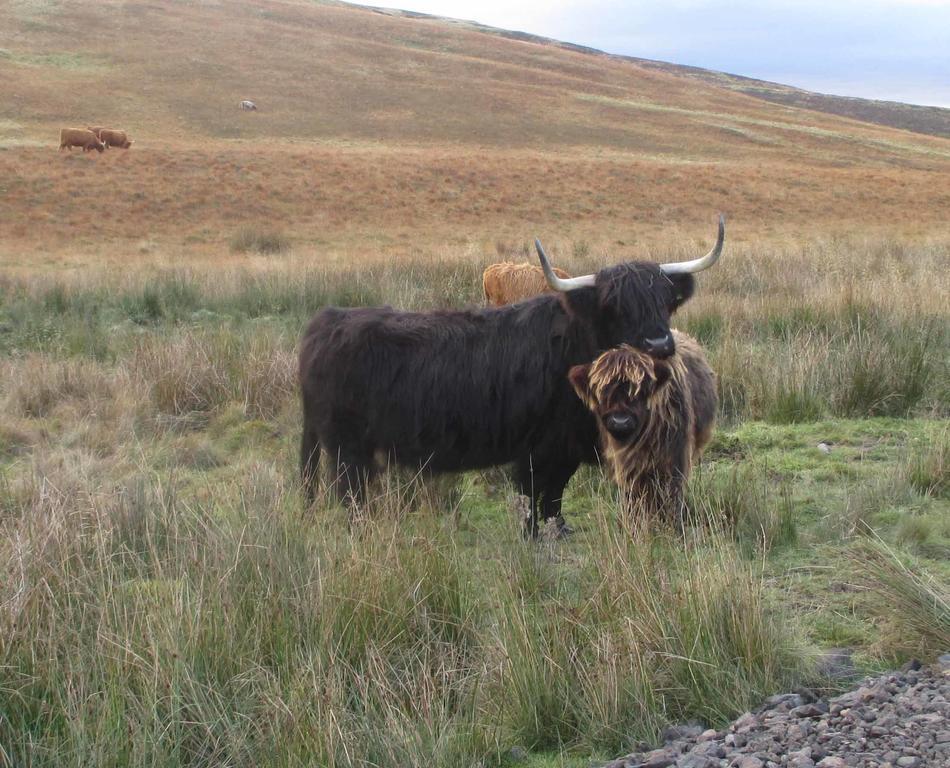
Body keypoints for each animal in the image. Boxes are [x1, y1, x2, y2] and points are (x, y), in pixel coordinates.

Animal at [568, 330, 716, 520]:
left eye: (641, 390)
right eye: (602, 392)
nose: (620, 421)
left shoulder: (675, 459)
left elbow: (671, 495)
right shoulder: (625, 465)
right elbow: (634, 497)